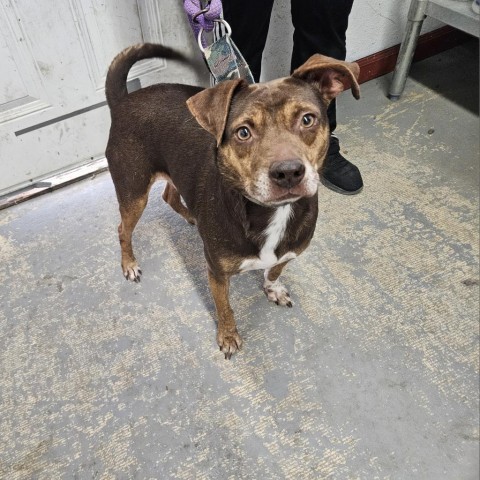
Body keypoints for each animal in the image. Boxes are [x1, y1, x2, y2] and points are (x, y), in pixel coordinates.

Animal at [105, 45, 360, 358]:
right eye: (243, 132)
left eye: (307, 119)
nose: (288, 172)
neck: (271, 214)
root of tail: (123, 100)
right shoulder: (216, 272)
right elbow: (225, 307)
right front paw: (227, 336)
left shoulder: (289, 252)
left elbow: (274, 269)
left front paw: (272, 288)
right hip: (134, 192)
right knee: (123, 229)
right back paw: (129, 263)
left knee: (169, 195)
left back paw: (191, 216)